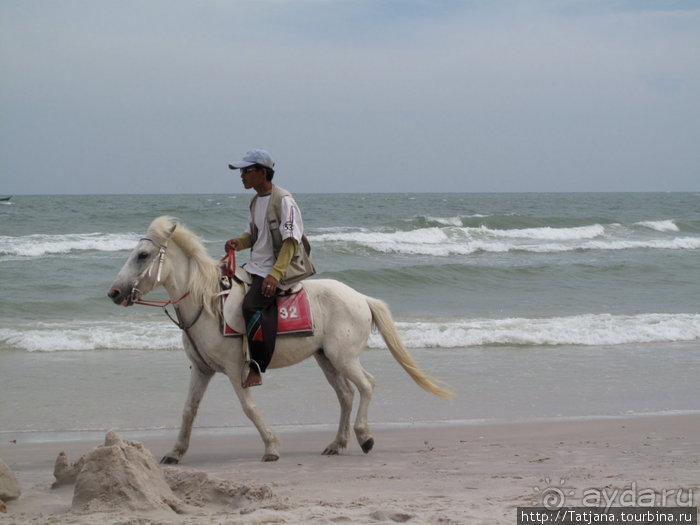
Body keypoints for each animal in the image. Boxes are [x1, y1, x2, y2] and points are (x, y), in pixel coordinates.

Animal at [106, 215, 452, 460]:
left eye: (143, 255)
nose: (114, 293)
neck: (207, 304)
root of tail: (361, 298)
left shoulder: (235, 368)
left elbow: (248, 407)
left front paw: (271, 446)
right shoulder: (202, 370)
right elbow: (189, 410)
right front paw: (175, 453)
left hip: (343, 357)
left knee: (366, 385)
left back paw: (364, 437)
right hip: (326, 358)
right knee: (345, 394)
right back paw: (337, 443)